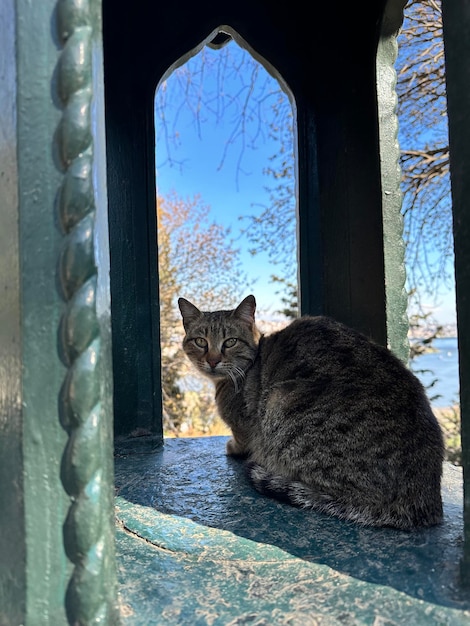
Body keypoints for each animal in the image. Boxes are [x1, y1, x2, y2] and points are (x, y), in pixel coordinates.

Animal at [177, 292, 444, 528]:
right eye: (201, 341)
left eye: (230, 342)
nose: (212, 360)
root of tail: (424, 501)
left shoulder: (244, 424)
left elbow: (241, 439)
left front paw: (233, 447)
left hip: (279, 401)